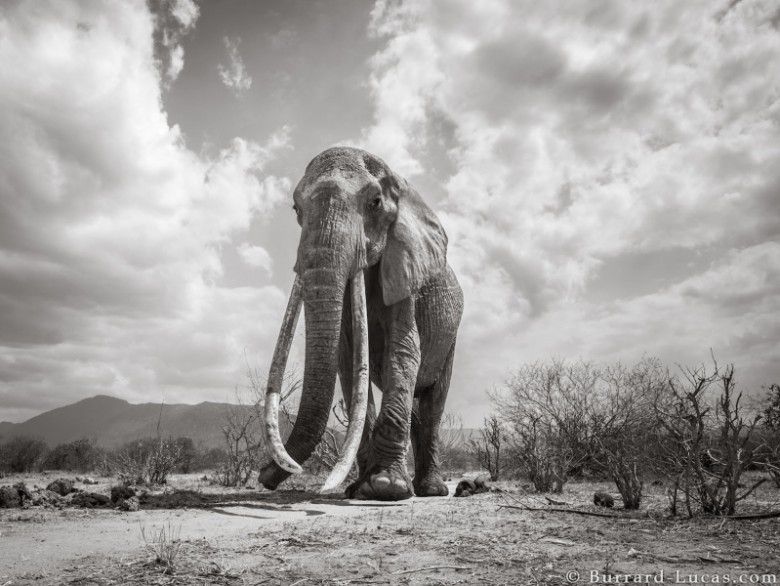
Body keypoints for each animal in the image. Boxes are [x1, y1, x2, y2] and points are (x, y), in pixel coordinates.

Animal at [258, 146, 463, 501]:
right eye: (296, 208)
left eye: (375, 203)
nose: (263, 476)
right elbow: (350, 360)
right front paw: (360, 489)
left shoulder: (405, 269)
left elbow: (403, 350)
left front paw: (386, 487)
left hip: (452, 336)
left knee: (433, 404)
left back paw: (431, 490)